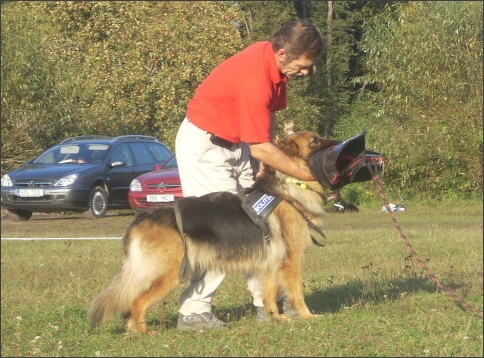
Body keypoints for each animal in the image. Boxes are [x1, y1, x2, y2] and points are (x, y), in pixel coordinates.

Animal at [89, 131, 338, 336]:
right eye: (315, 140)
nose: (338, 143)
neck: (288, 186)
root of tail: (141, 218)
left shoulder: (270, 263)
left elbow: (268, 294)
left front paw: (276, 318)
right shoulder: (292, 260)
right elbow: (296, 292)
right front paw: (307, 316)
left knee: (129, 302)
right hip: (168, 274)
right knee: (136, 302)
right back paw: (145, 333)